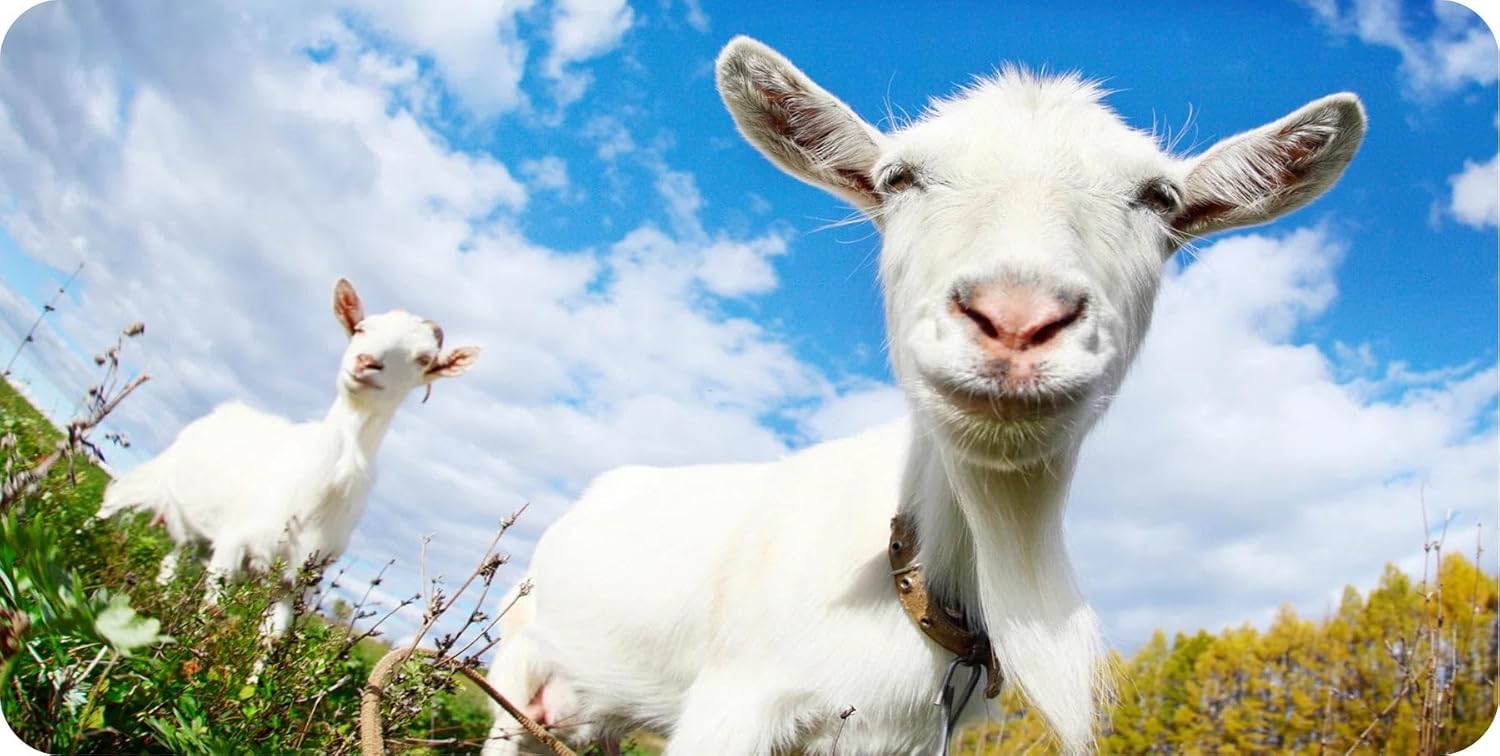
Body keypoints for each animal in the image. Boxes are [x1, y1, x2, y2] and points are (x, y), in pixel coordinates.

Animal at [98, 278, 479, 638]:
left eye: (424, 359)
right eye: (361, 328)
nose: (366, 363)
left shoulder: (297, 582)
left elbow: (273, 638)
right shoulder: (232, 545)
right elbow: (211, 610)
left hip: (194, 533)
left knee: (171, 561)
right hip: (156, 481)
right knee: (113, 503)